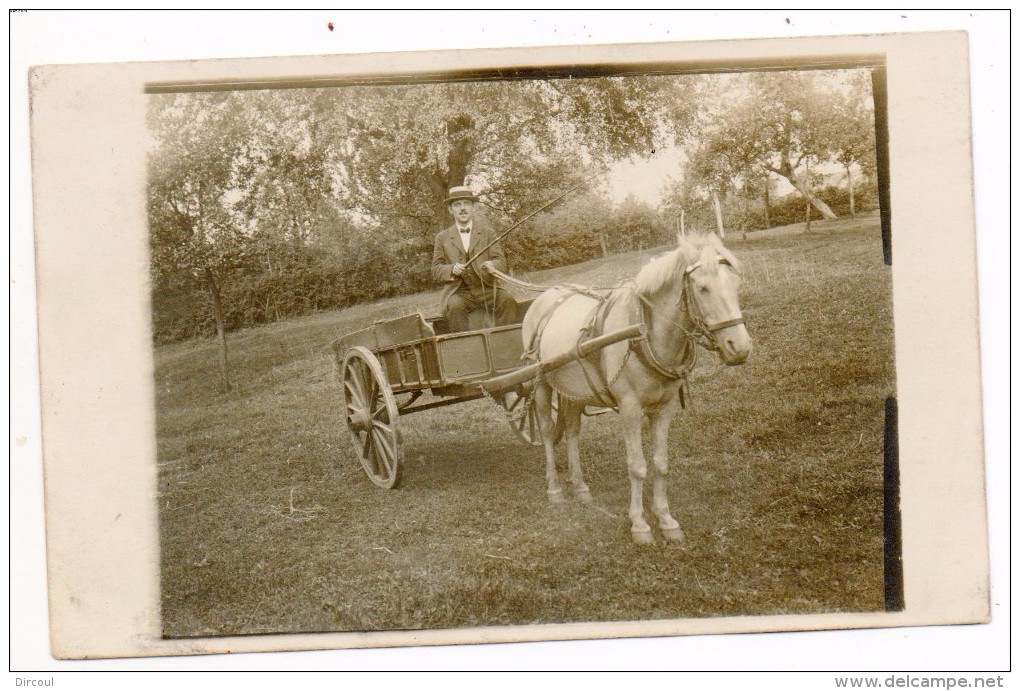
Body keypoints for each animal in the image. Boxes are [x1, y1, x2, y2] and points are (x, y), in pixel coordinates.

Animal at [522, 232, 754, 543]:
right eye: (703, 288)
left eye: (736, 285)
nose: (739, 348)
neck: (643, 333)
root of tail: (546, 296)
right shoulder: (630, 409)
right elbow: (637, 466)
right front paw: (640, 524)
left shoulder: (664, 409)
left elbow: (660, 463)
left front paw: (666, 520)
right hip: (541, 385)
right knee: (548, 432)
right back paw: (555, 488)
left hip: (573, 391)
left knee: (571, 431)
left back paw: (580, 487)